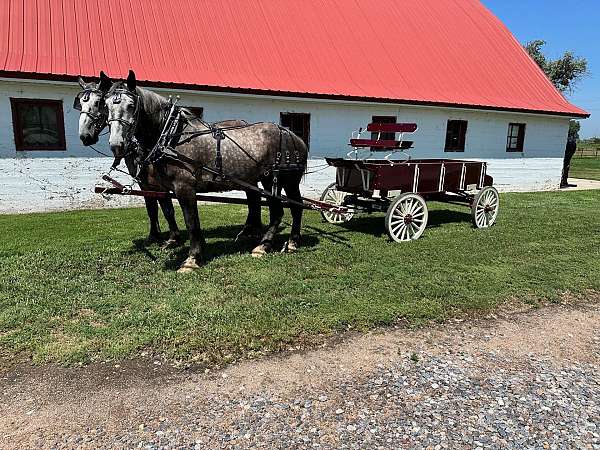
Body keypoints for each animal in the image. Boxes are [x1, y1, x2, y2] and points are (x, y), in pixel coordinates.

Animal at [105, 72, 308, 272]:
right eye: (106, 106)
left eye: (131, 105)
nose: (117, 144)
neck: (171, 136)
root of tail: (294, 136)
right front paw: (198, 248)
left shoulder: (184, 188)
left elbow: (191, 221)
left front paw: (192, 258)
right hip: (274, 182)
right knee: (287, 208)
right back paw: (279, 243)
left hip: (281, 180)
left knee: (287, 209)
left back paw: (274, 244)